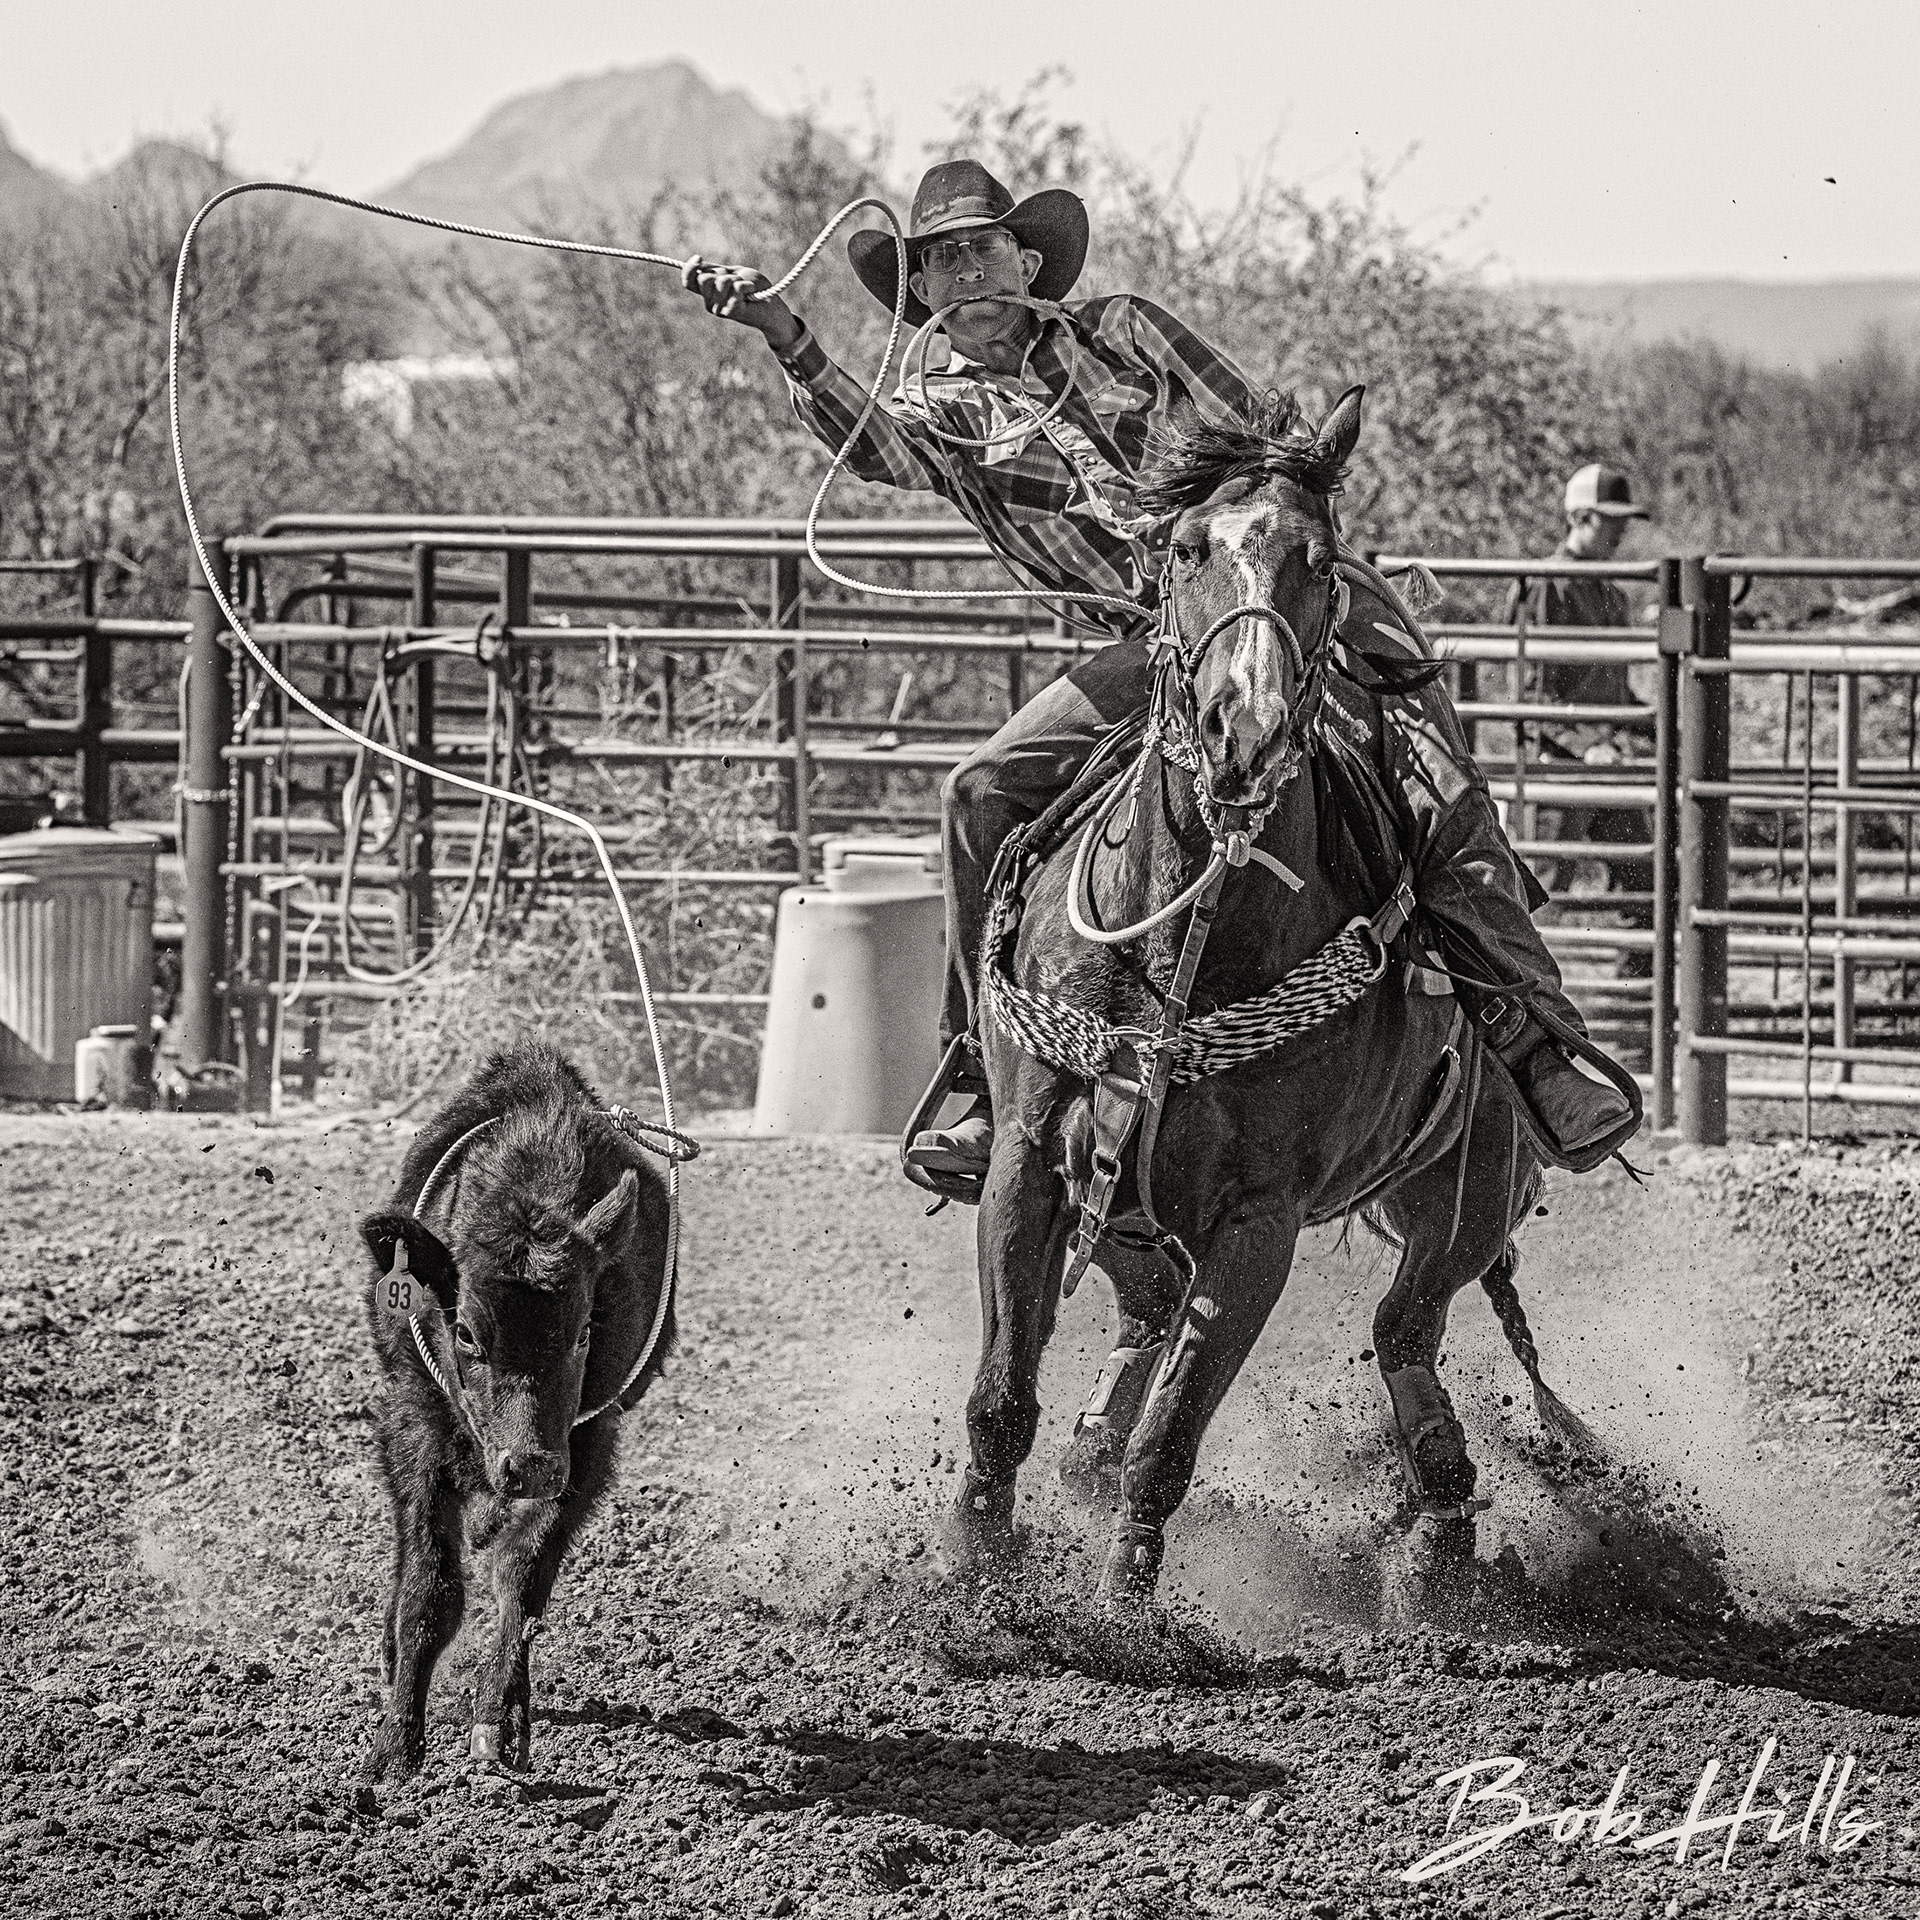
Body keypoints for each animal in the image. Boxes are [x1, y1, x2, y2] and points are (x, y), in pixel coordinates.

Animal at [358, 1040, 680, 1779]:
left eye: (585, 1332)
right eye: (466, 1333)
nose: (527, 1465)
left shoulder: (585, 1448)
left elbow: (521, 1575)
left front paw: (499, 1721)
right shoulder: (413, 1424)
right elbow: (431, 1586)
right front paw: (396, 1745)